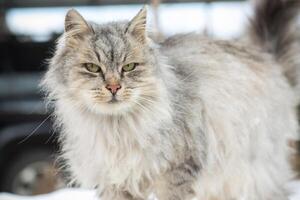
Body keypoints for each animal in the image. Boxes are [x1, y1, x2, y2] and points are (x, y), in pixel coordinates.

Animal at [41, 0, 300, 200]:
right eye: (93, 68)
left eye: (129, 67)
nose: (114, 87)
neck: (118, 129)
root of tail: (266, 57)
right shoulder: (116, 182)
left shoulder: (177, 172)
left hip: (250, 174)